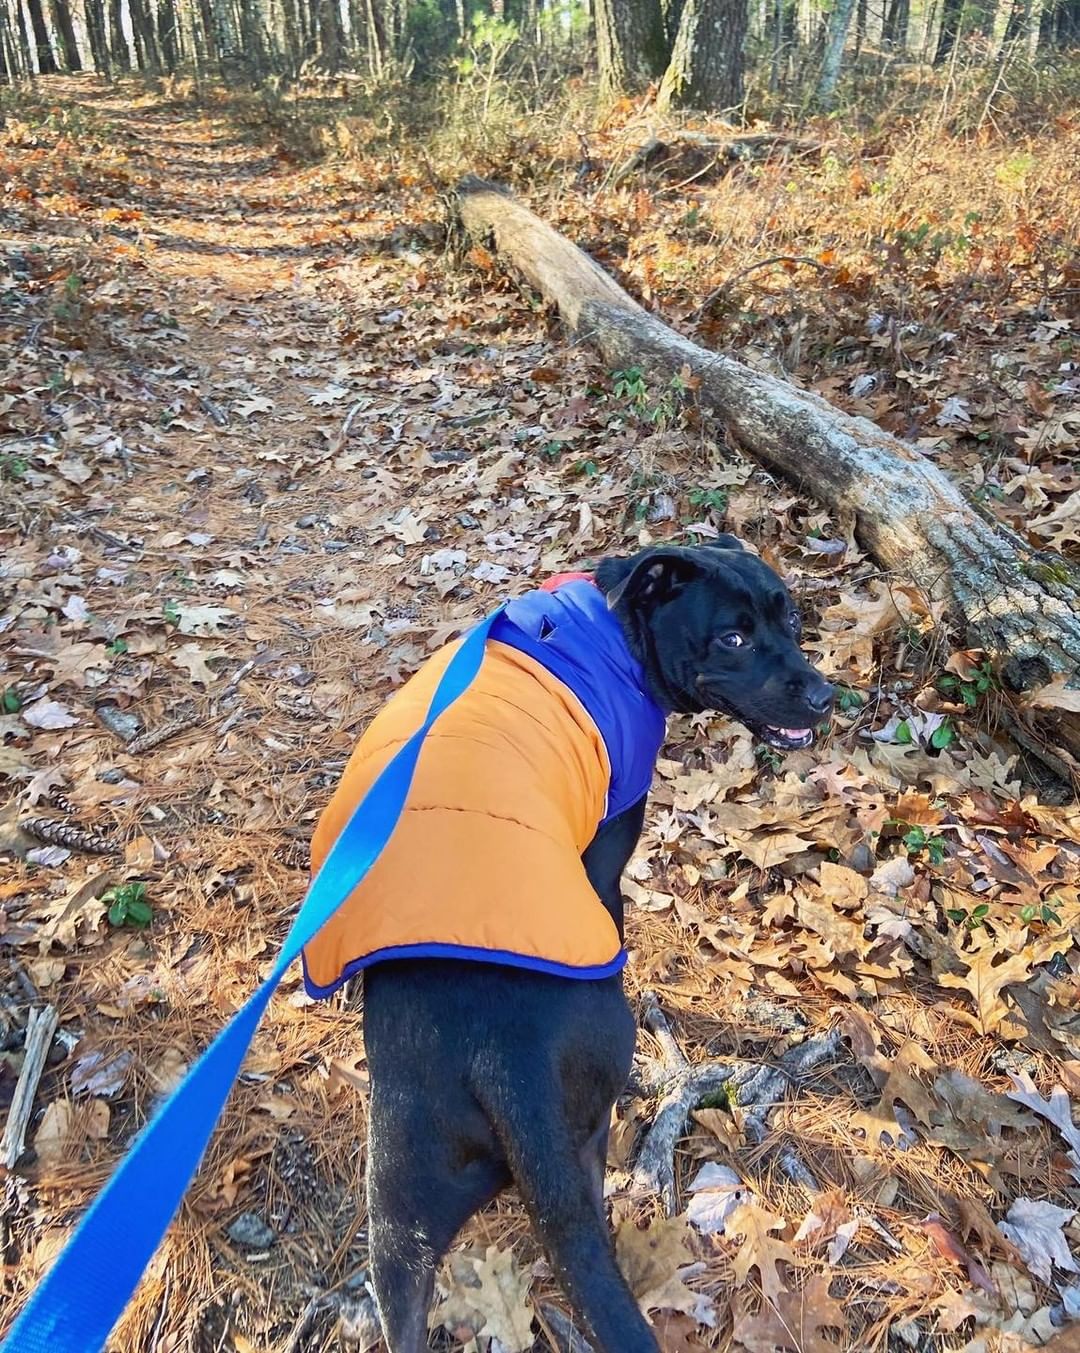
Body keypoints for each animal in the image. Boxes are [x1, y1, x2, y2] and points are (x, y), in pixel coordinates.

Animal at [351, 538, 833, 1353]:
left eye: (790, 617)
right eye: (733, 637)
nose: (827, 696)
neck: (615, 631)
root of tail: (499, 1059)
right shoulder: (607, 847)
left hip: (400, 1197)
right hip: (593, 1068)